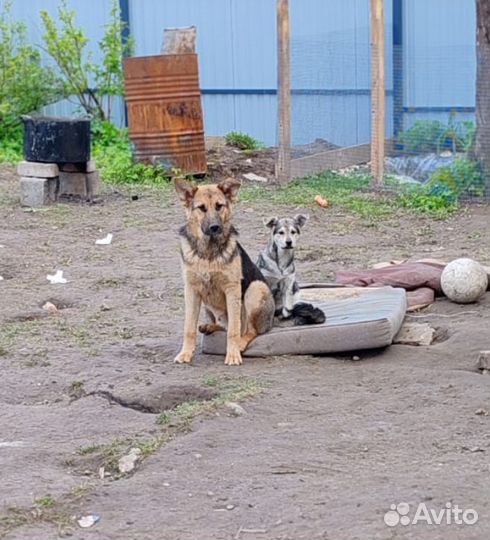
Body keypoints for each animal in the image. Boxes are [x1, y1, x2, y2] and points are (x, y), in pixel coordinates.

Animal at [173, 177, 274, 368]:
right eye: (201, 208)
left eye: (219, 206)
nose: (215, 227)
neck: (209, 254)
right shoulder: (191, 290)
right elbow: (189, 328)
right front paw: (185, 353)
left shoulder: (232, 289)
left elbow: (233, 331)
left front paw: (233, 355)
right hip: (208, 304)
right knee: (222, 324)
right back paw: (209, 326)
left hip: (255, 289)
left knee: (250, 331)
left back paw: (241, 343)